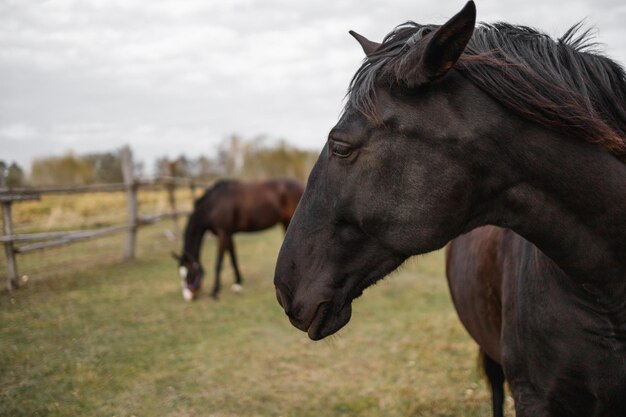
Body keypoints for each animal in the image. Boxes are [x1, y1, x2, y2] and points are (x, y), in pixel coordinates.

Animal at [174, 177, 304, 300]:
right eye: (181, 274)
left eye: (189, 274)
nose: (188, 297)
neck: (213, 205)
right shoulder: (228, 235)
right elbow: (233, 258)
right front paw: (237, 284)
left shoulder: (223, 234)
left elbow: (219, 263)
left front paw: (215, 292)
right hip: (285, 223)